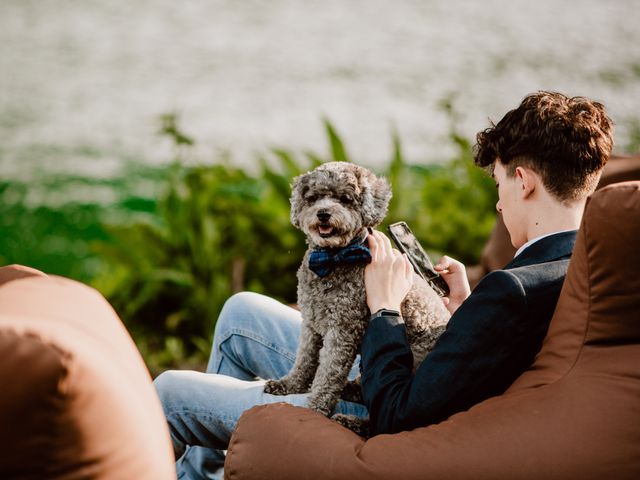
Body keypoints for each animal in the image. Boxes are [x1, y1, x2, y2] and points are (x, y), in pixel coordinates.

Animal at [264, 162, 450, 436]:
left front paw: (314, 411)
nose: (323, 214)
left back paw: (351, 420)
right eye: (314, 198)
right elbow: (305, 358)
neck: (334, 259)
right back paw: (351, 389)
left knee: (382, 420)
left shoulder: (342, 330)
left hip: (415, 360)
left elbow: (328, 374)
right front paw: (290, 384)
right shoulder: (310, 323)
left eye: (345, 199)